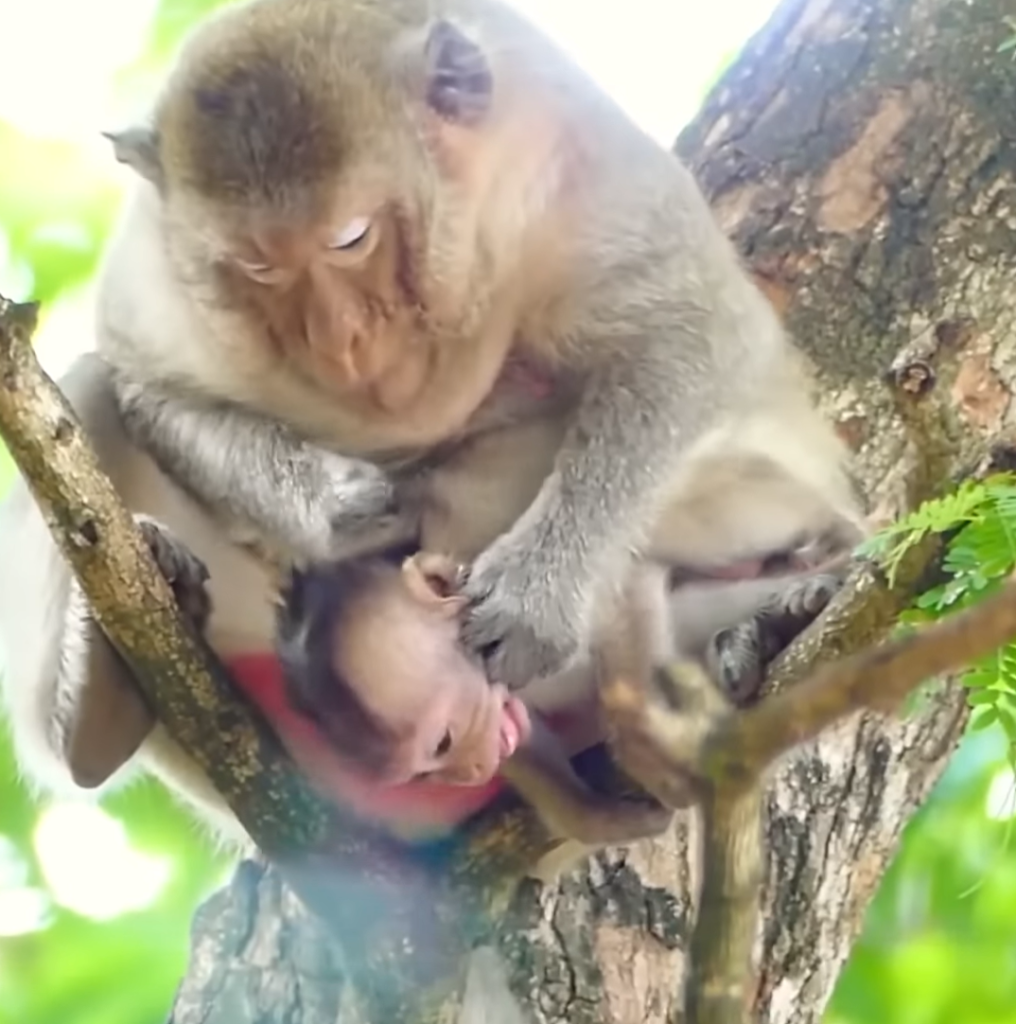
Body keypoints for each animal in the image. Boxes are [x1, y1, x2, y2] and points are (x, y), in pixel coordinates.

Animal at [90, 0, 868, 699]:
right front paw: (335, 503)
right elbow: (143, 389)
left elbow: (685, 335)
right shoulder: (168, 295)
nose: (341, 337)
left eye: (350, 238)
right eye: (257, 267)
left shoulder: (573, 167)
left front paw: (535, 598)